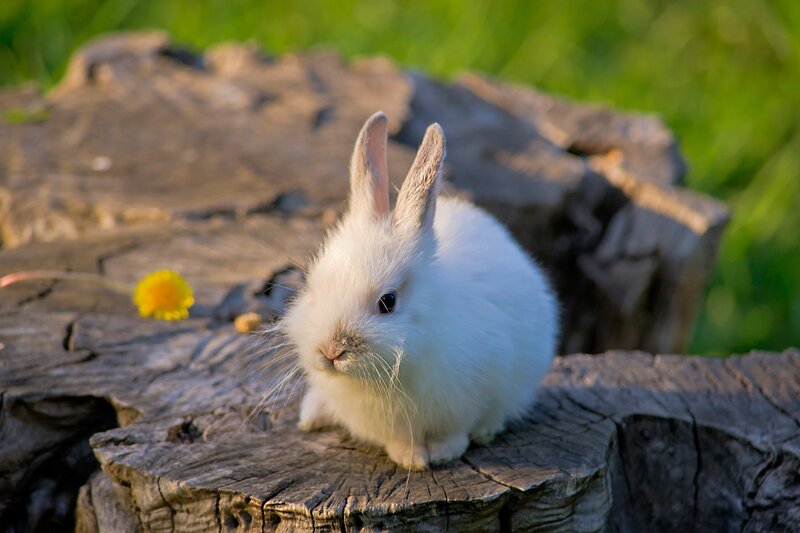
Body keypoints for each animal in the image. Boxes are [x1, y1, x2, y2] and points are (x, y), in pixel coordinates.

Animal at [281, 111, 558, 470]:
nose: (331, 351)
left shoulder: (467, 401)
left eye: (388, 302)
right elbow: (400, 441)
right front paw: (410, 458)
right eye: (312, 286)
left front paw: (441, 454)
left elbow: (456, 432)